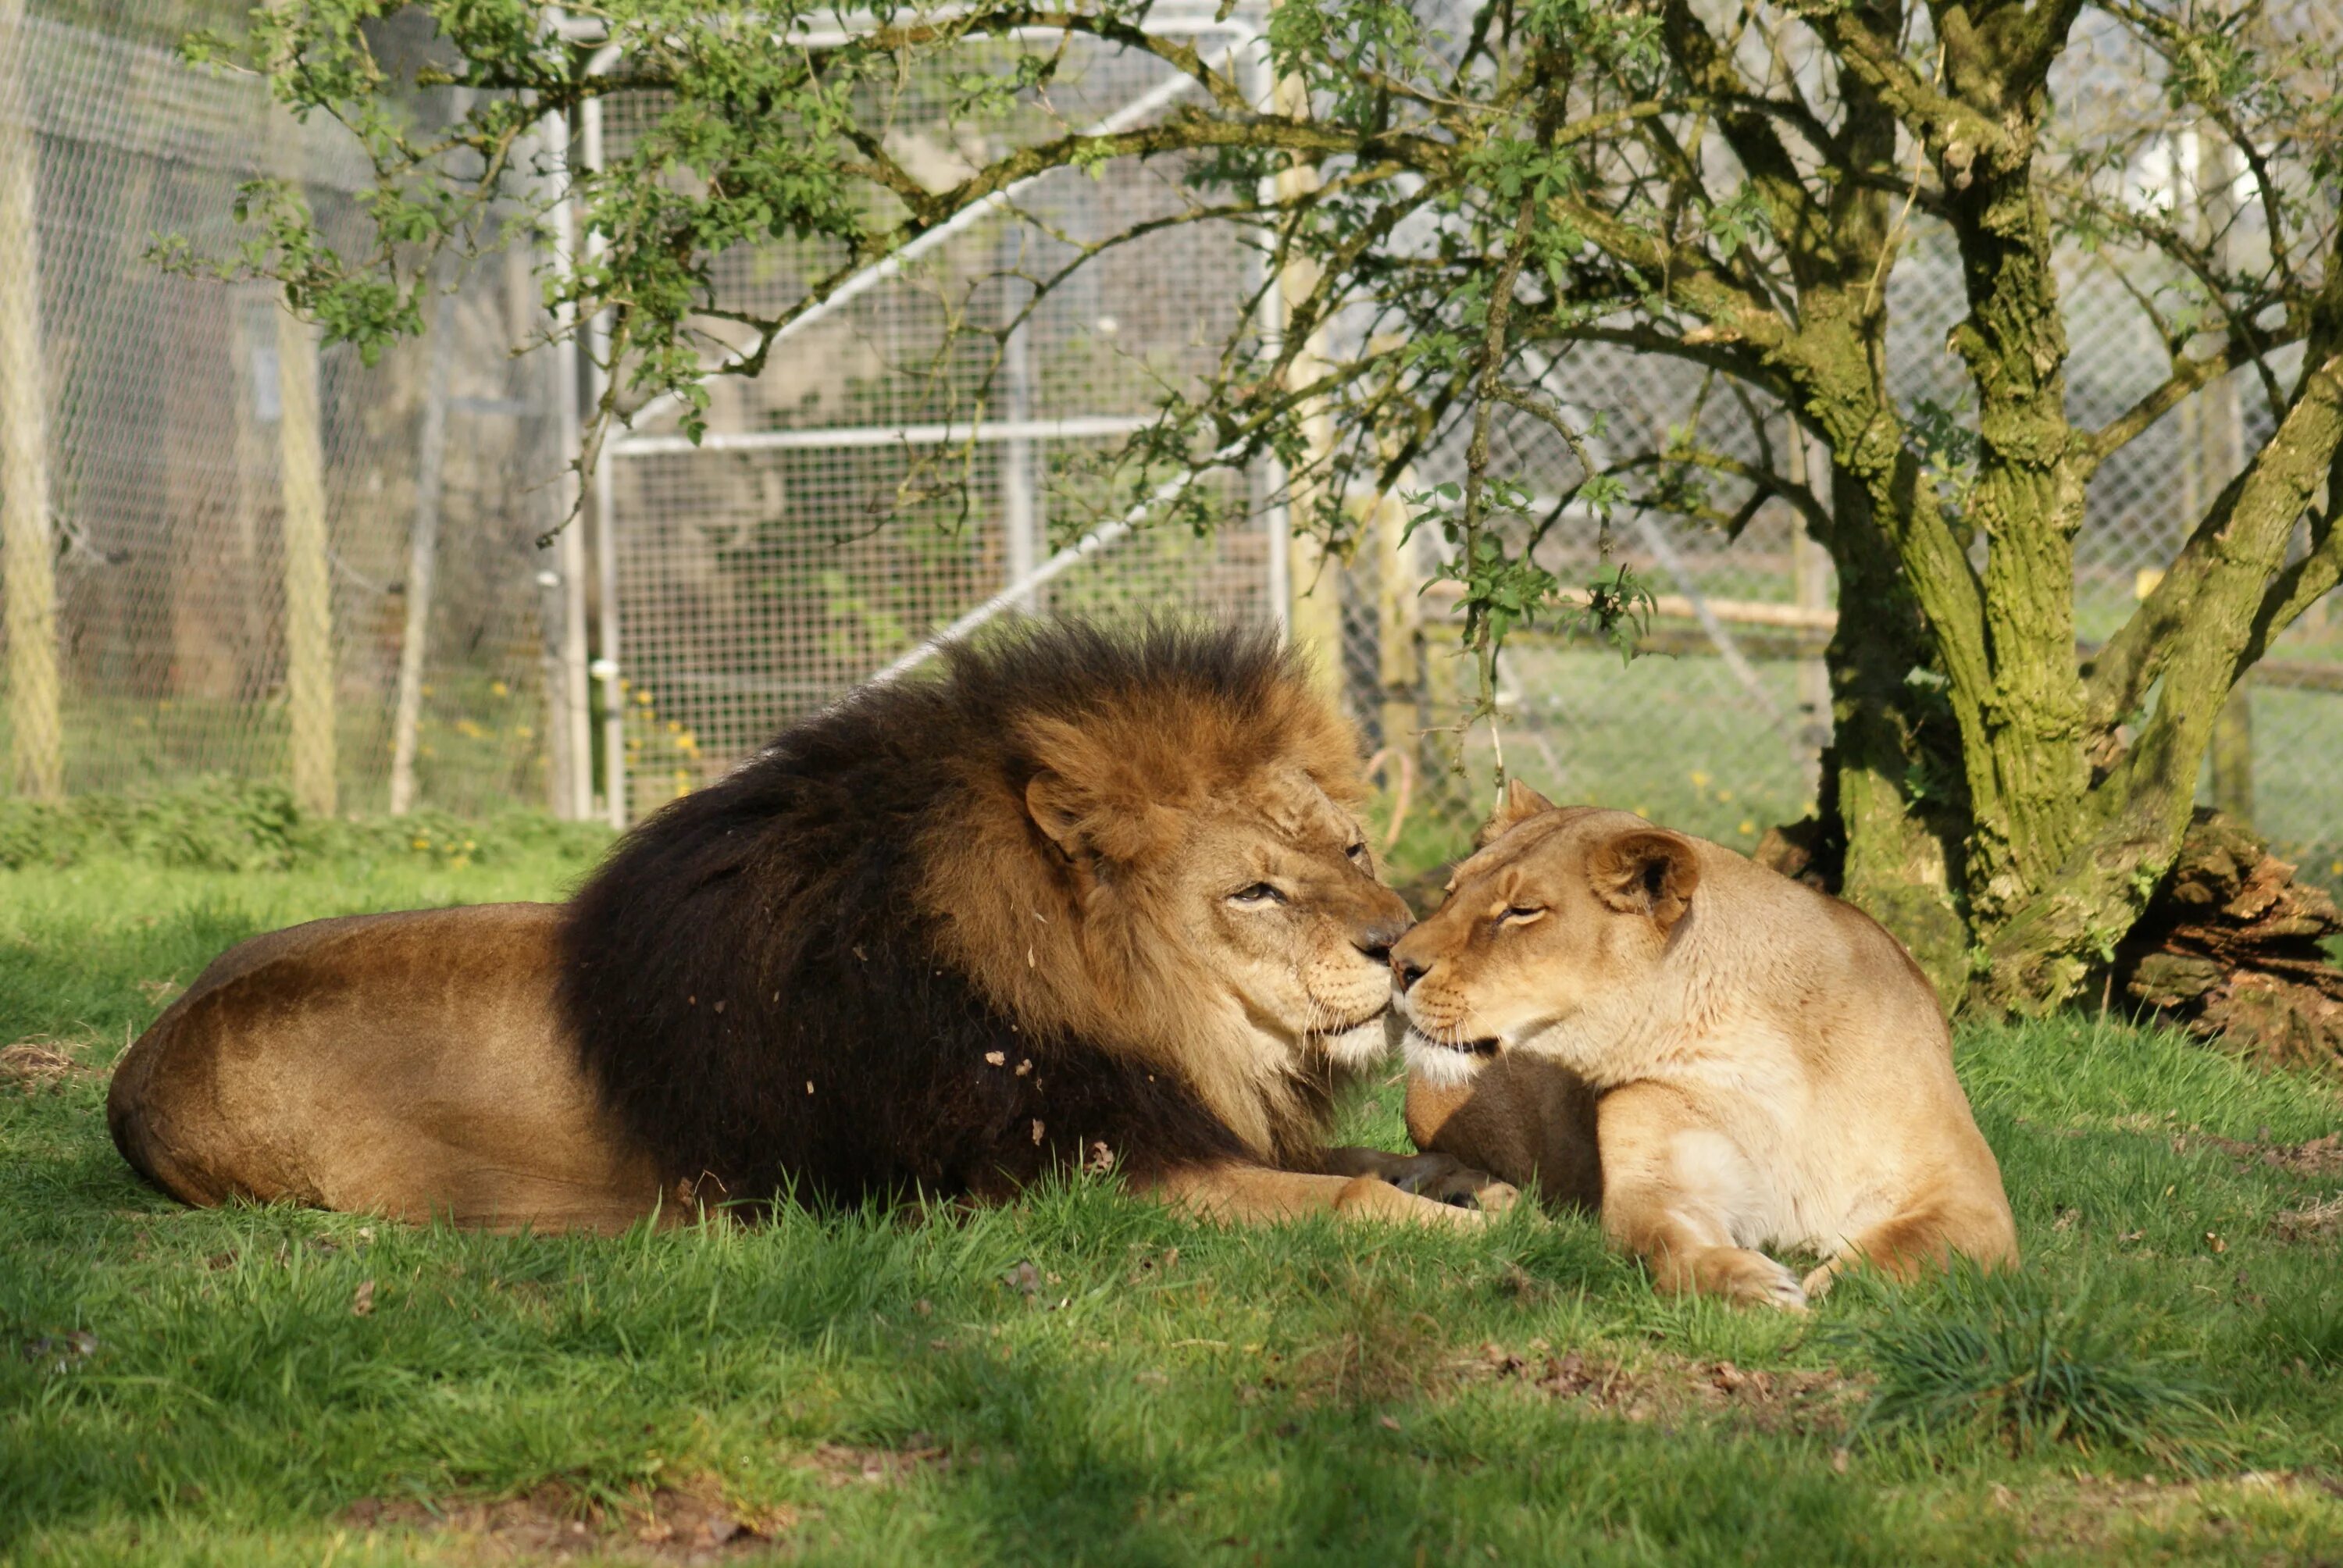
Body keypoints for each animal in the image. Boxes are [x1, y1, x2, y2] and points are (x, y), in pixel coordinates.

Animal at [110, 618, 1509, 1228]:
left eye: (1351, 849)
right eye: (1253, 892)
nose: (1397, 950)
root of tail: (134, 1066)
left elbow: (1361, 1158)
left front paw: (1467, 1181)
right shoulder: (1075, 1180)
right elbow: (1344, 1200)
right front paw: (1451, 1226)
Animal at [1387, 778, 2015, 1303]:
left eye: (1521, 912)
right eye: (1451, 892)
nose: (1395, 962)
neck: (1762, 1057)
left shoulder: (1970, 1199)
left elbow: (1903, 1253)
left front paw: (1830, 1287)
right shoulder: (1658, 1181)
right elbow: (1662, 1242)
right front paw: (1752, 1284)